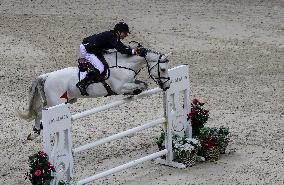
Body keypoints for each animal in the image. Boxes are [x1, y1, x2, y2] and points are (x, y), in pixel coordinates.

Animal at [17, 48, 171, 139]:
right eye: (163, 69)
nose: (167, 86)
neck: (125, 64)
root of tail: (47, 76)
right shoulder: (119, 87)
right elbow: (137, 86)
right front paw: (134, 91)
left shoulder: (130, 81)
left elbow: (143, 85)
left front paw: (135, 91)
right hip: (57, 103)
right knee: (40, 112)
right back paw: (35, 132)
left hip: (65, 101)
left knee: (39, 111)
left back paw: (36, 132)